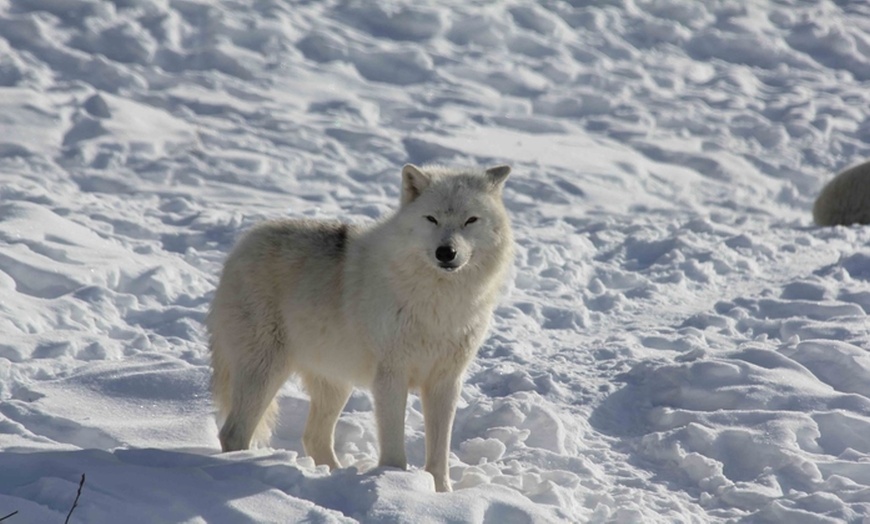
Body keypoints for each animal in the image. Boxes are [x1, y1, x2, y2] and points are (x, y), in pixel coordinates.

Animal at [208, 163, 516, 492]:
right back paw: (239, 471)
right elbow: (394, 450)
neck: (438, 301)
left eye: (470, 220)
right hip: (265, 371)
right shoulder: (391, 377)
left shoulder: (445, 382)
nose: (446, 252)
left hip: (334, 385)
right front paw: (395, 486)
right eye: (431, 218)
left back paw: (335, 478)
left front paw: (441, 494)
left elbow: (439, 455)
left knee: (313, 437)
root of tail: (242, 244)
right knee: (234, 432)